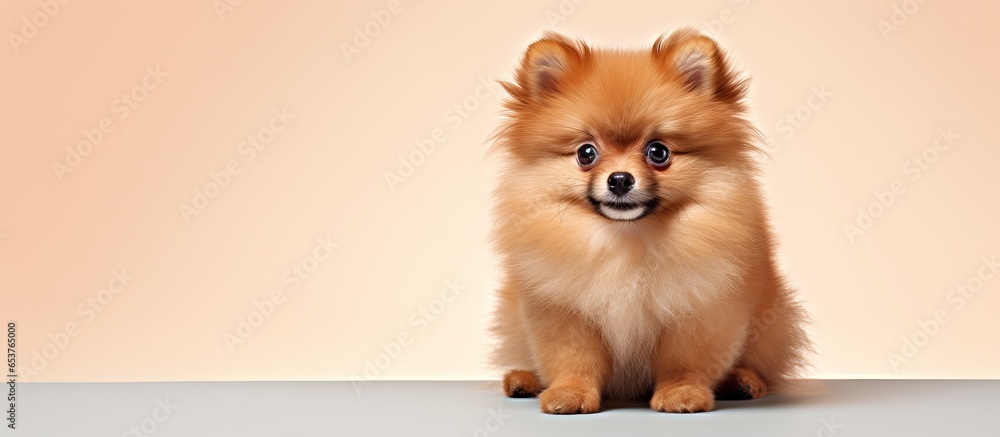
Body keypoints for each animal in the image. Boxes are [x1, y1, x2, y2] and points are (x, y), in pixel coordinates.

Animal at [488, 29, 808, 412]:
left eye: (658, 152)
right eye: (586, 153)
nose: (620, 179)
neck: (627, 238)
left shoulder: (699, 308)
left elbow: (684, 362)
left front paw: (682, 393)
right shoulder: (563, 312)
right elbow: (573, 360)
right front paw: (569, 393)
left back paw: (742, 381)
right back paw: (524, 380)